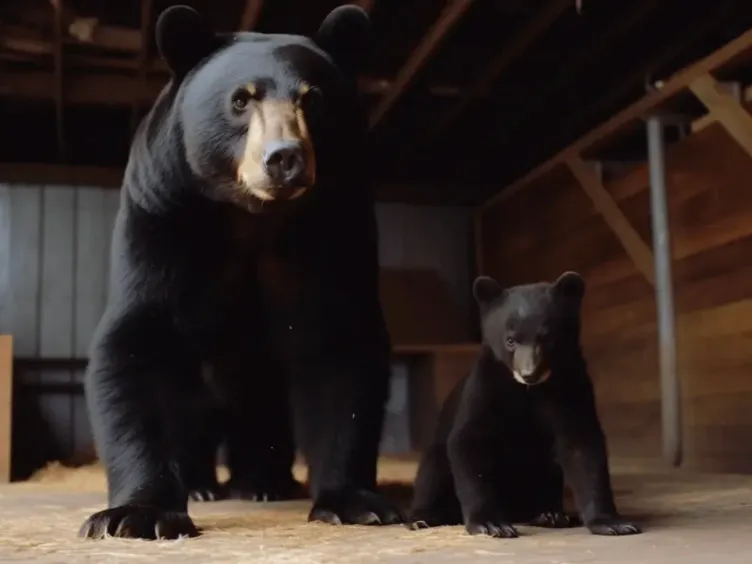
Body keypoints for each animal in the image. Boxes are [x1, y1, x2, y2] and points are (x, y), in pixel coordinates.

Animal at [77, 4, 401, 540]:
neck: (253, 217)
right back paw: (202, 485)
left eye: (314, 99)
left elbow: (342, 349)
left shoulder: (337, 231)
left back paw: (265, 482)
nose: (285, 157)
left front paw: (354, 501)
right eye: (240, 100)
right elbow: (135, 344)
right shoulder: (162, 215)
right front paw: (137, 514)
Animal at [407, 272, 641, 538]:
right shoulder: (485, 388)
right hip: (436, 455)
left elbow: (583, 447)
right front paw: (490, 524)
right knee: (432, 470)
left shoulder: (572, 388)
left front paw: (612, 522)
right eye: (510, 340)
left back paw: (549, 514)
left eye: (547, 336)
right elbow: (468, 443)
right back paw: (422, 517)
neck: (528, 391)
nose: (530, 373)